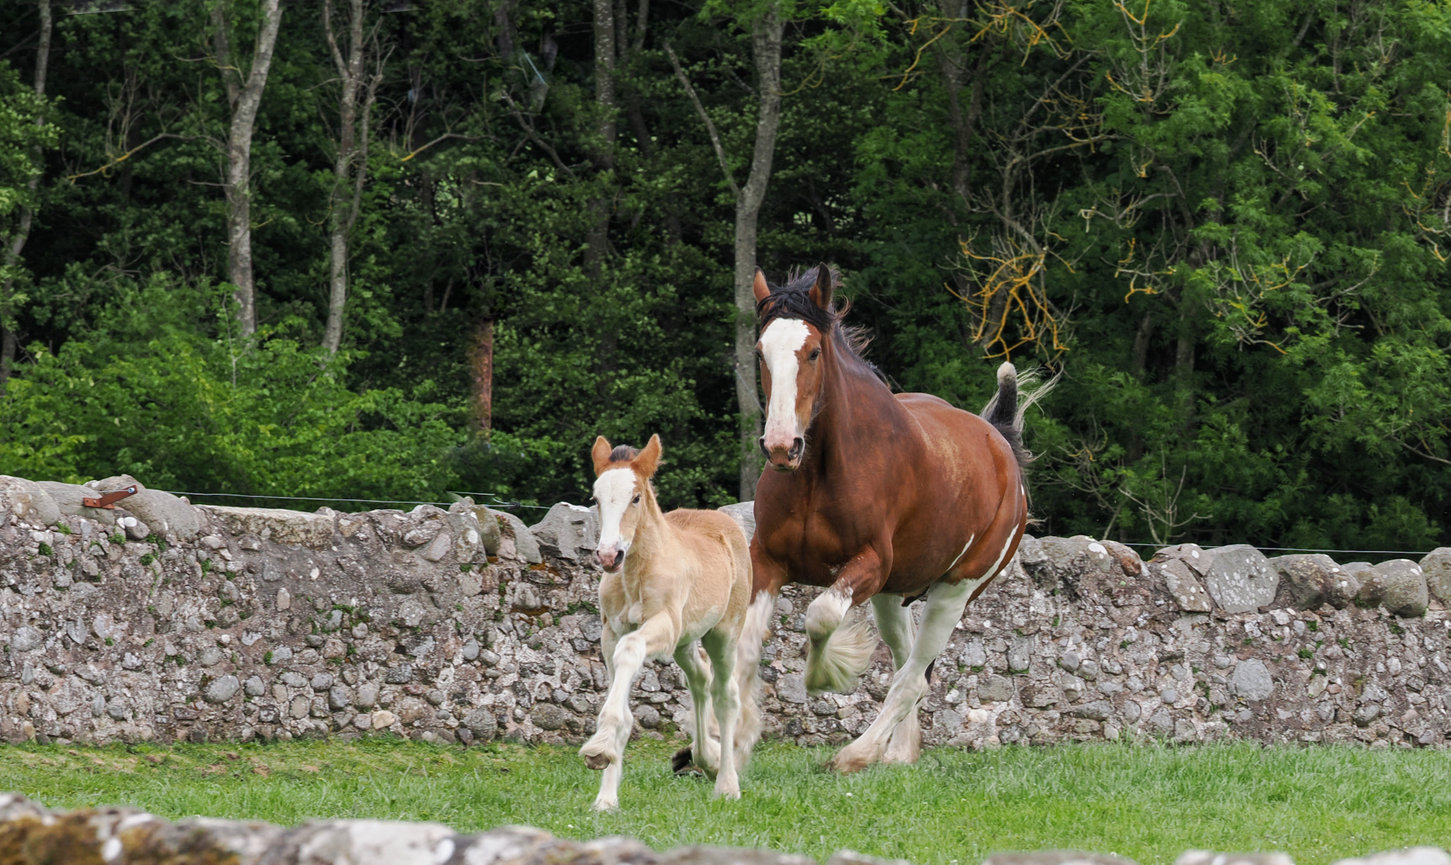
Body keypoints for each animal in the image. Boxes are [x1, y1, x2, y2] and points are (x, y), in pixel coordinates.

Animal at [579, 434, 754, 810]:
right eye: (596, 499)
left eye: (635, 498)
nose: (608, 555)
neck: (636, 574)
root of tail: (725, 522)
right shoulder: (610, 633)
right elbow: (623, 708)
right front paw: (605, 798)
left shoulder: (663, 625)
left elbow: (631, 651)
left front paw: (598, 748)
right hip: (685, 642)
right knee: (700, 679)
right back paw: (705, 758)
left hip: (723, 633)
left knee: (726, 695)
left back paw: (727, 784)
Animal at [737, 264, 1055, 774]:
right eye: (761, 352)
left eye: (812, 352)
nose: (782, 447)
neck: (820, 474)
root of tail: (1001, 442)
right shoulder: (768, 561)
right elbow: (743, 645)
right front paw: (707, 747)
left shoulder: (867, 565)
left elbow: (821, 616)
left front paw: (826, 674)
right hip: (892, 595)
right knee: (907, 662)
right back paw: (900, 752)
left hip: (952, 592)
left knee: (914, 678)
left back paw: (857, 754)